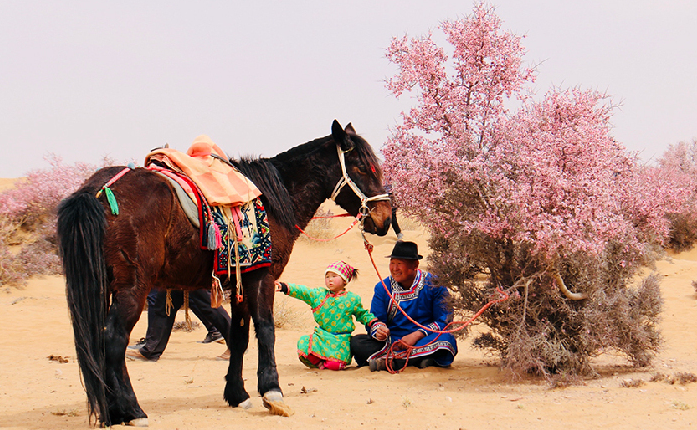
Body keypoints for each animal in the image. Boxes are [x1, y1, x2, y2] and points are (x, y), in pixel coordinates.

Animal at [57, 120, 392, 427]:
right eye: (363, 167)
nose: (385, 217)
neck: (274, 198)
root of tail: (96, 192)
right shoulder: (262, 277)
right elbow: (266, 330)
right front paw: (272, 393)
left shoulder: (240, 284)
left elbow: (239, 337)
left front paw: (237, 394)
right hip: (133, 288)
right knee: (113, 339)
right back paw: (132, 410)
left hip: (104, 287)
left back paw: (113, 411)